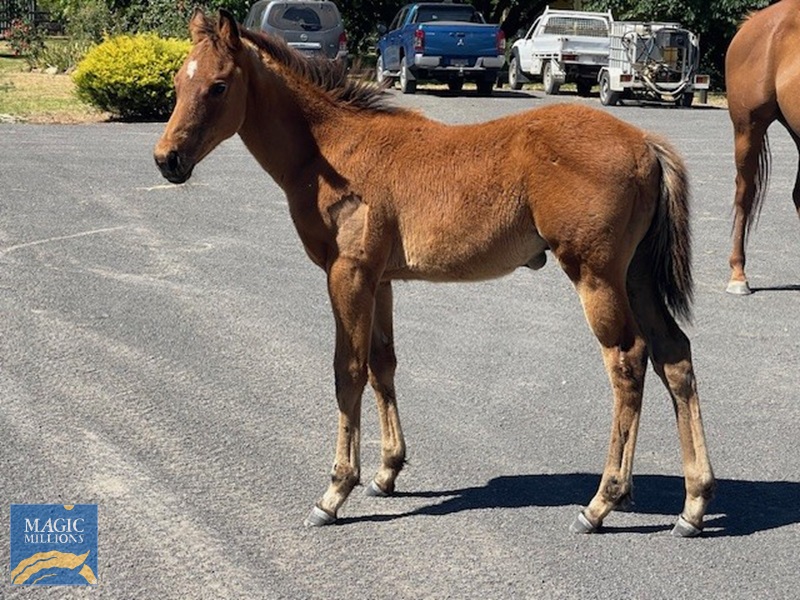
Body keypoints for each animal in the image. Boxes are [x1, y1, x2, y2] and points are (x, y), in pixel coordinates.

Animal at [154, 10, 715, 537]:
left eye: (218, 85)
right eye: (179, 83)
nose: (167, 159)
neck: (332, 152)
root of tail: (646, 143)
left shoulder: (347, 274)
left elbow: (347, 371)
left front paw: (335, 492)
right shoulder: (379, 280)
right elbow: (381, 364)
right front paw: (386, 472)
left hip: (596, 274)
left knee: (628, 361)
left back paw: (602, 502)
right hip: (636, 276)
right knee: (674, 355)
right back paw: (693, 504)